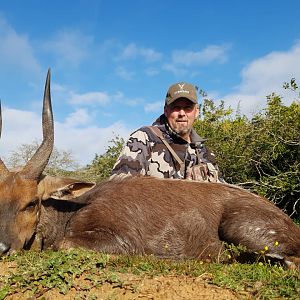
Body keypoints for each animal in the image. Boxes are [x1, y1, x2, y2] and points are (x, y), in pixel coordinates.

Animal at [0, 71, 300, 270]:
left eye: (32, 203)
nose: (2, 248)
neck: (73, 209)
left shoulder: (123, 240)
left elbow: (65, 245)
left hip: (240, 228)